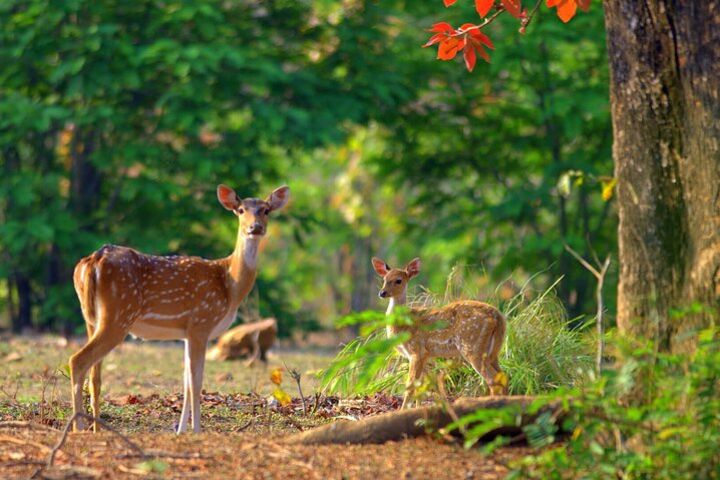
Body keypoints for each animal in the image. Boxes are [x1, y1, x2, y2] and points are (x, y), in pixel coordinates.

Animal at [71, 183, 290, 432]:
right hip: (118, 314)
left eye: (266, 210)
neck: (229, 284)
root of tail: (92, 261)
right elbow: (196, 381)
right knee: (77, 361)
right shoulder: (202, 322)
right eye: (241, 210)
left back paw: (95, 428)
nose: (255, 228)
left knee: (94, 375)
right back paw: (78, 428)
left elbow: (185, 381)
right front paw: (196, 430)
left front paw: (181, 430)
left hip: (91, 317)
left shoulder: (186, 331)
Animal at [372, 256, 506, 406]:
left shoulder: (417, 351)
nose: (382, 293)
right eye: (384, 279)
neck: (403, 325)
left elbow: (410, 386)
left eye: (398, 280)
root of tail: (498, 317)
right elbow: (423, 387)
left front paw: (405, 409)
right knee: (503, 377)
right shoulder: (425, 356)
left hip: (473, 347)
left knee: (493, 379)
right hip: (493, 351)